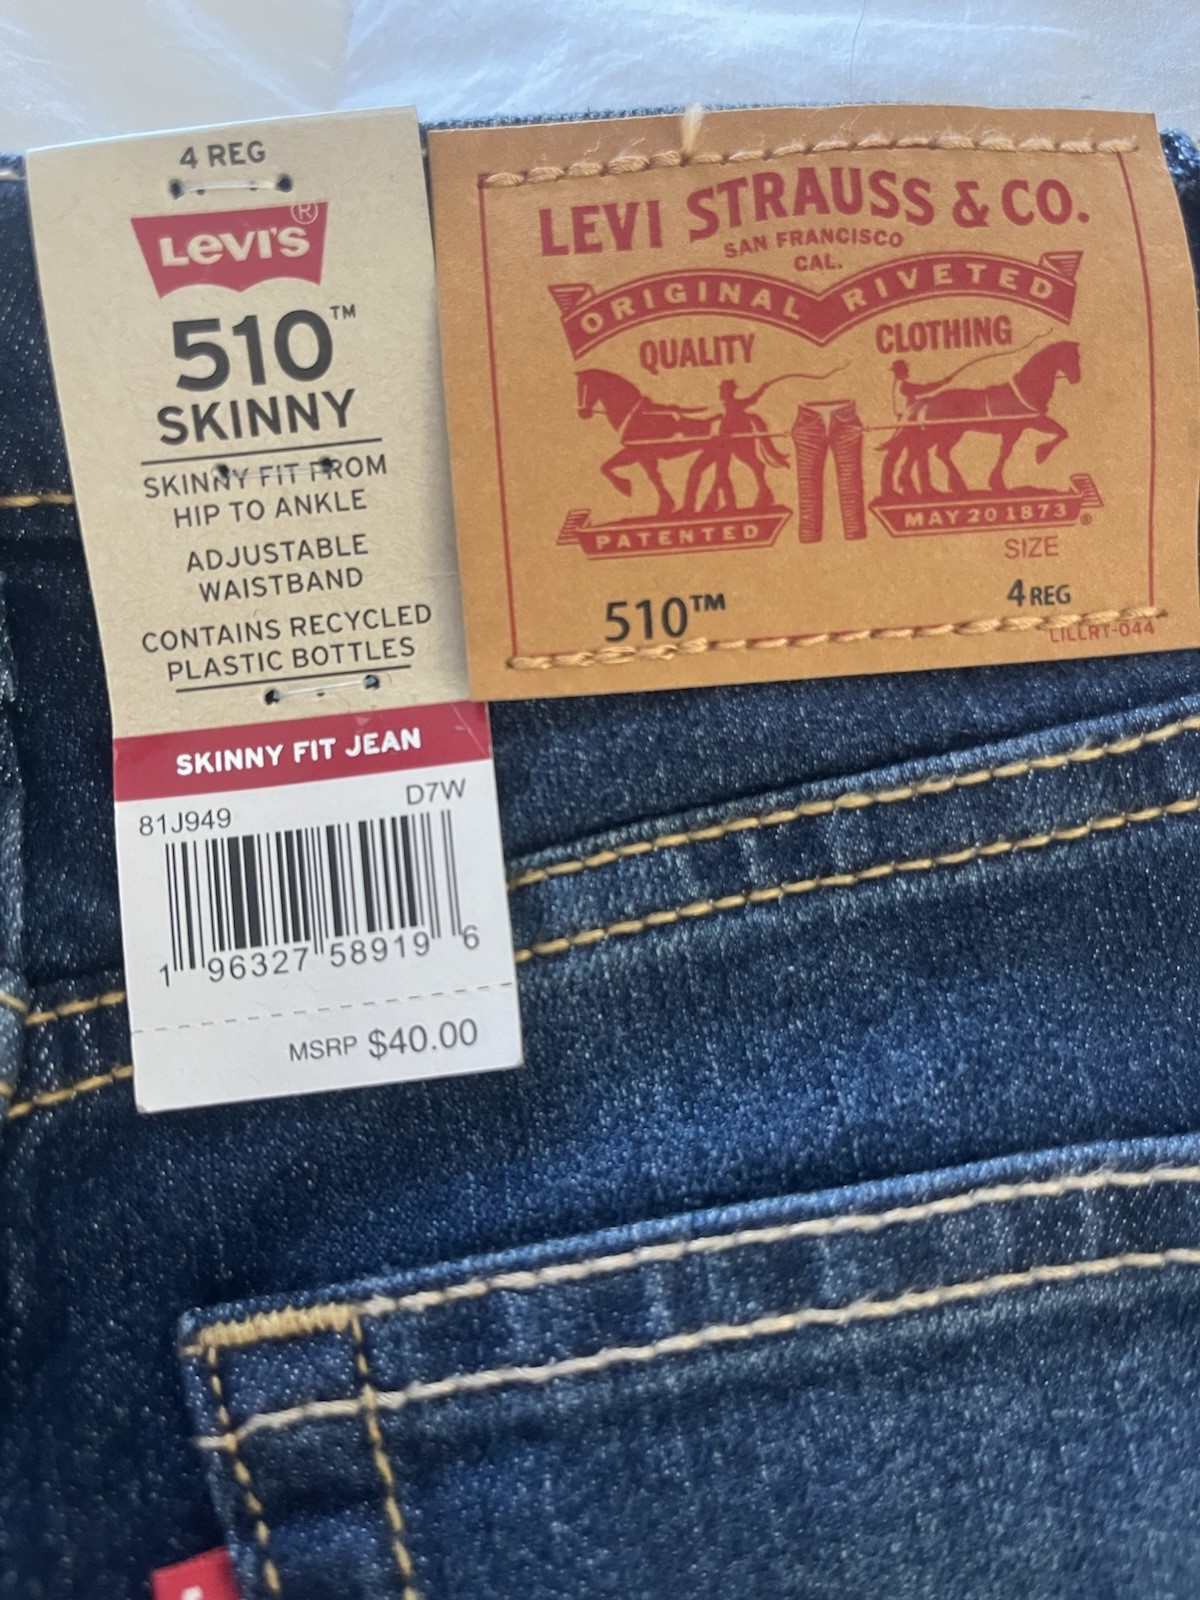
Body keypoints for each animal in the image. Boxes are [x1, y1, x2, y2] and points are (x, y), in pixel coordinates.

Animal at [882, 341, 1081, 498]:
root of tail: (925, 401)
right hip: (939, 432)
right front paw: (1040, 454)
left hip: (949, 433)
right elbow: (1009, 451)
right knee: (922, 451)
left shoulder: (1022, 426)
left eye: (1077, 357)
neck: (1025, 389)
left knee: (927, 452)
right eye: (1071, 357)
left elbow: (1059, 432)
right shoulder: (1021, 426)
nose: (1076, 378)